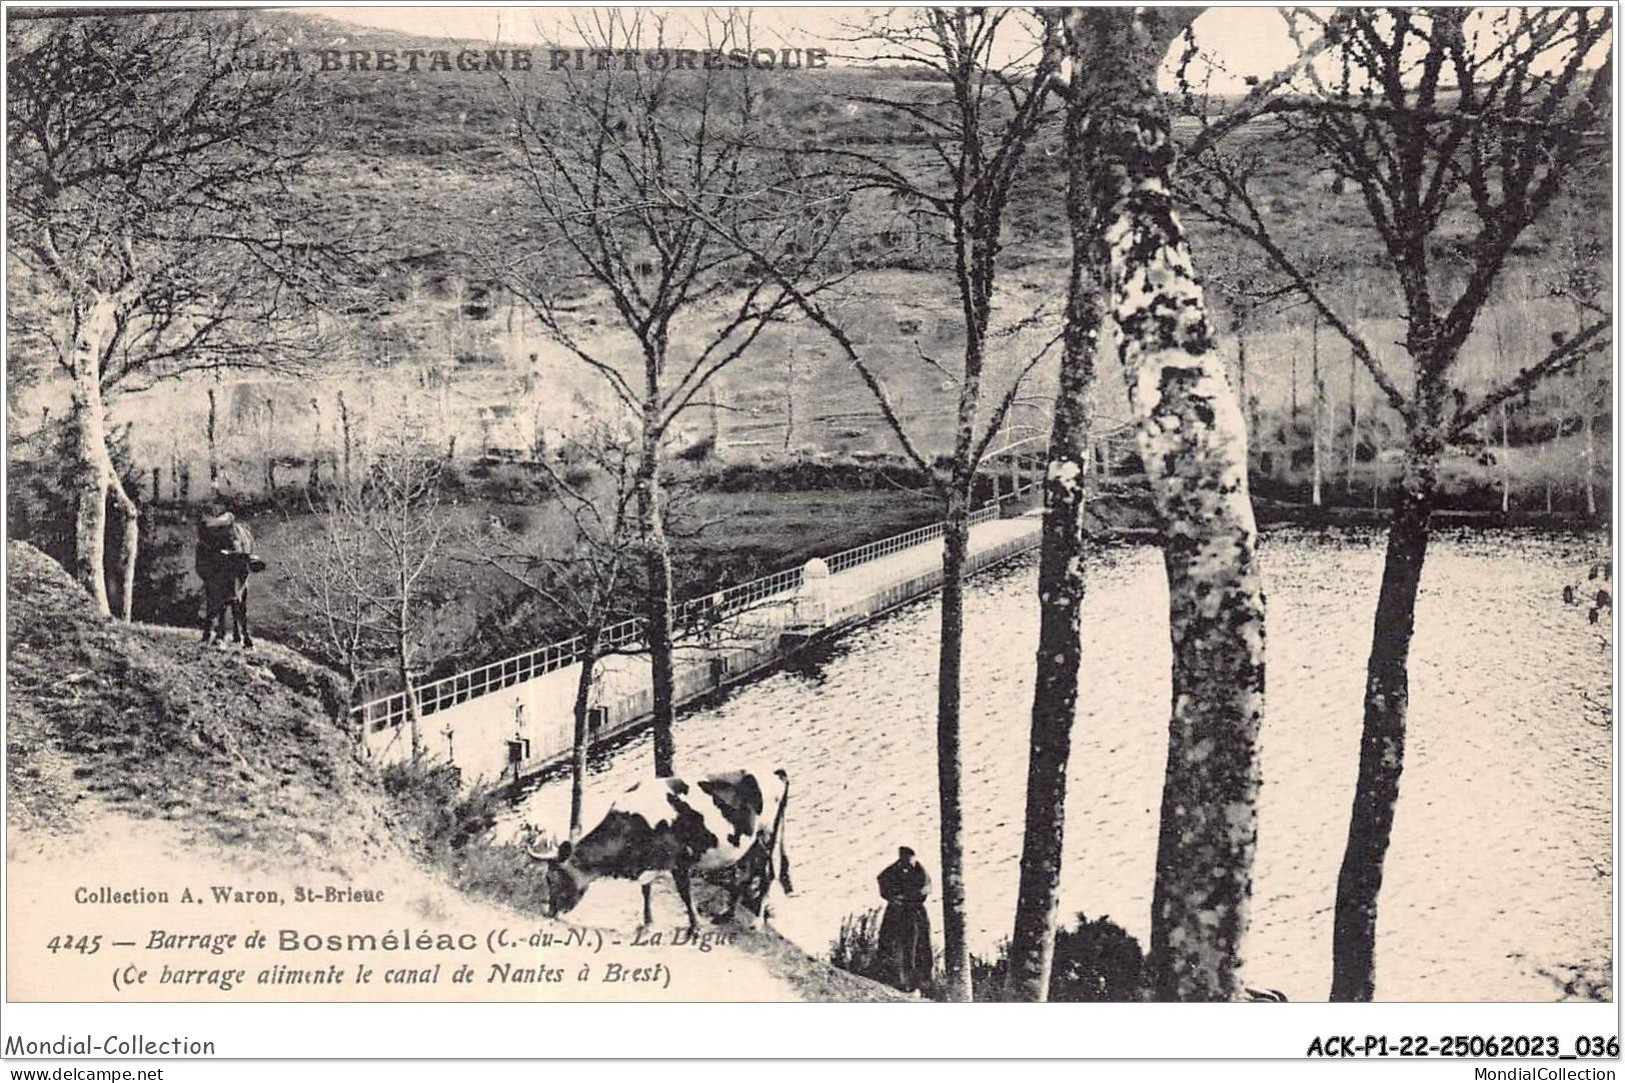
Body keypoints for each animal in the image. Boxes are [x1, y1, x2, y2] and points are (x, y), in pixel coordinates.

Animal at [195, 513, 264, 643]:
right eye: (225, 571)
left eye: (245, 573)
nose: (233, 598)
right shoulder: (211, 583)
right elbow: (215, 608)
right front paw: (212, 636)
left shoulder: (244, 587)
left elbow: (241, 611)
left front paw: (247, 640)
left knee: (232, 609)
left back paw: (235, 636)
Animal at [529, 767, 789, 930]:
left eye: (553, 879)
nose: (549, 912)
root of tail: (775, 773)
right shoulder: (648, 862)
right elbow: (645, 890)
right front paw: (647, 922)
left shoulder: (679, 861)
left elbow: (685, 894)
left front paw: (695, 927)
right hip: (752, 841)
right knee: (747, 873)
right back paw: (726, 915)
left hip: (768, 834)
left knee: (767, 874)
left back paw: (756, 922)